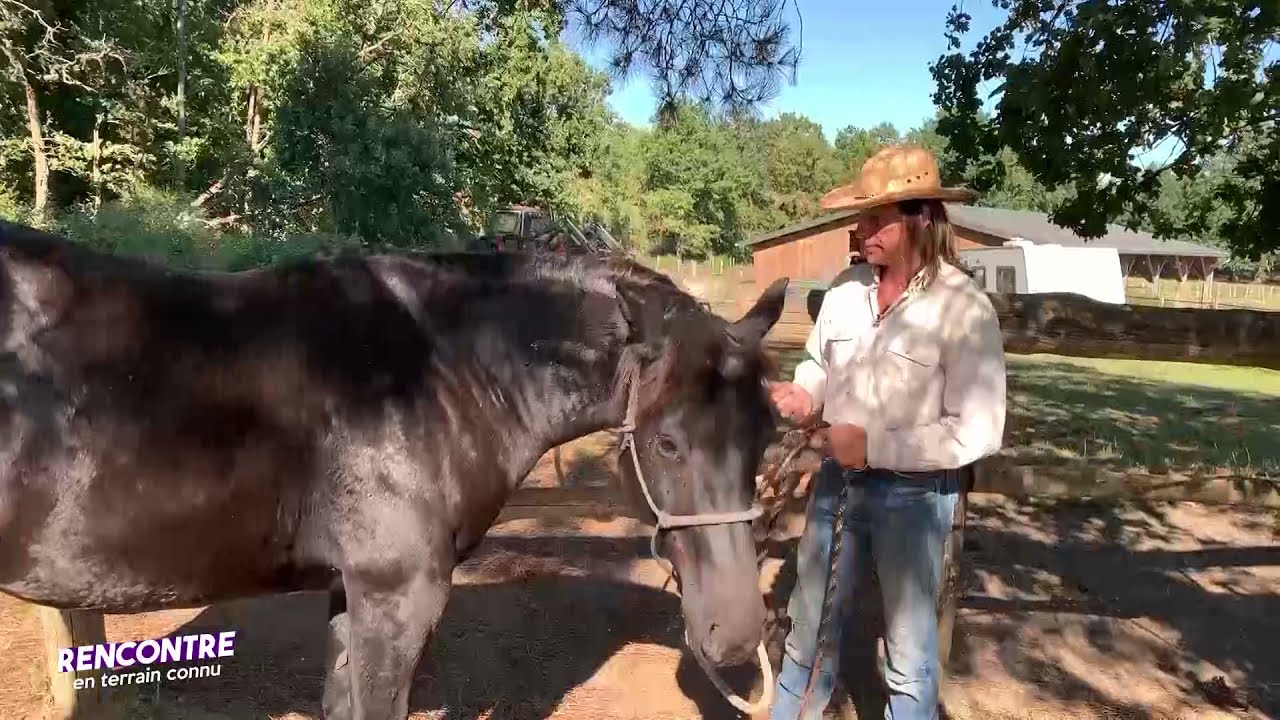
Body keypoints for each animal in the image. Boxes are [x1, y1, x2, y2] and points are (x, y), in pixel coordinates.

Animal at [0, 219, 789, 719]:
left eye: (769, 436)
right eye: (668, 444)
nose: (736, 635)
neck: (441, 371)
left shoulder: (352, 595)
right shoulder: (398, 600)